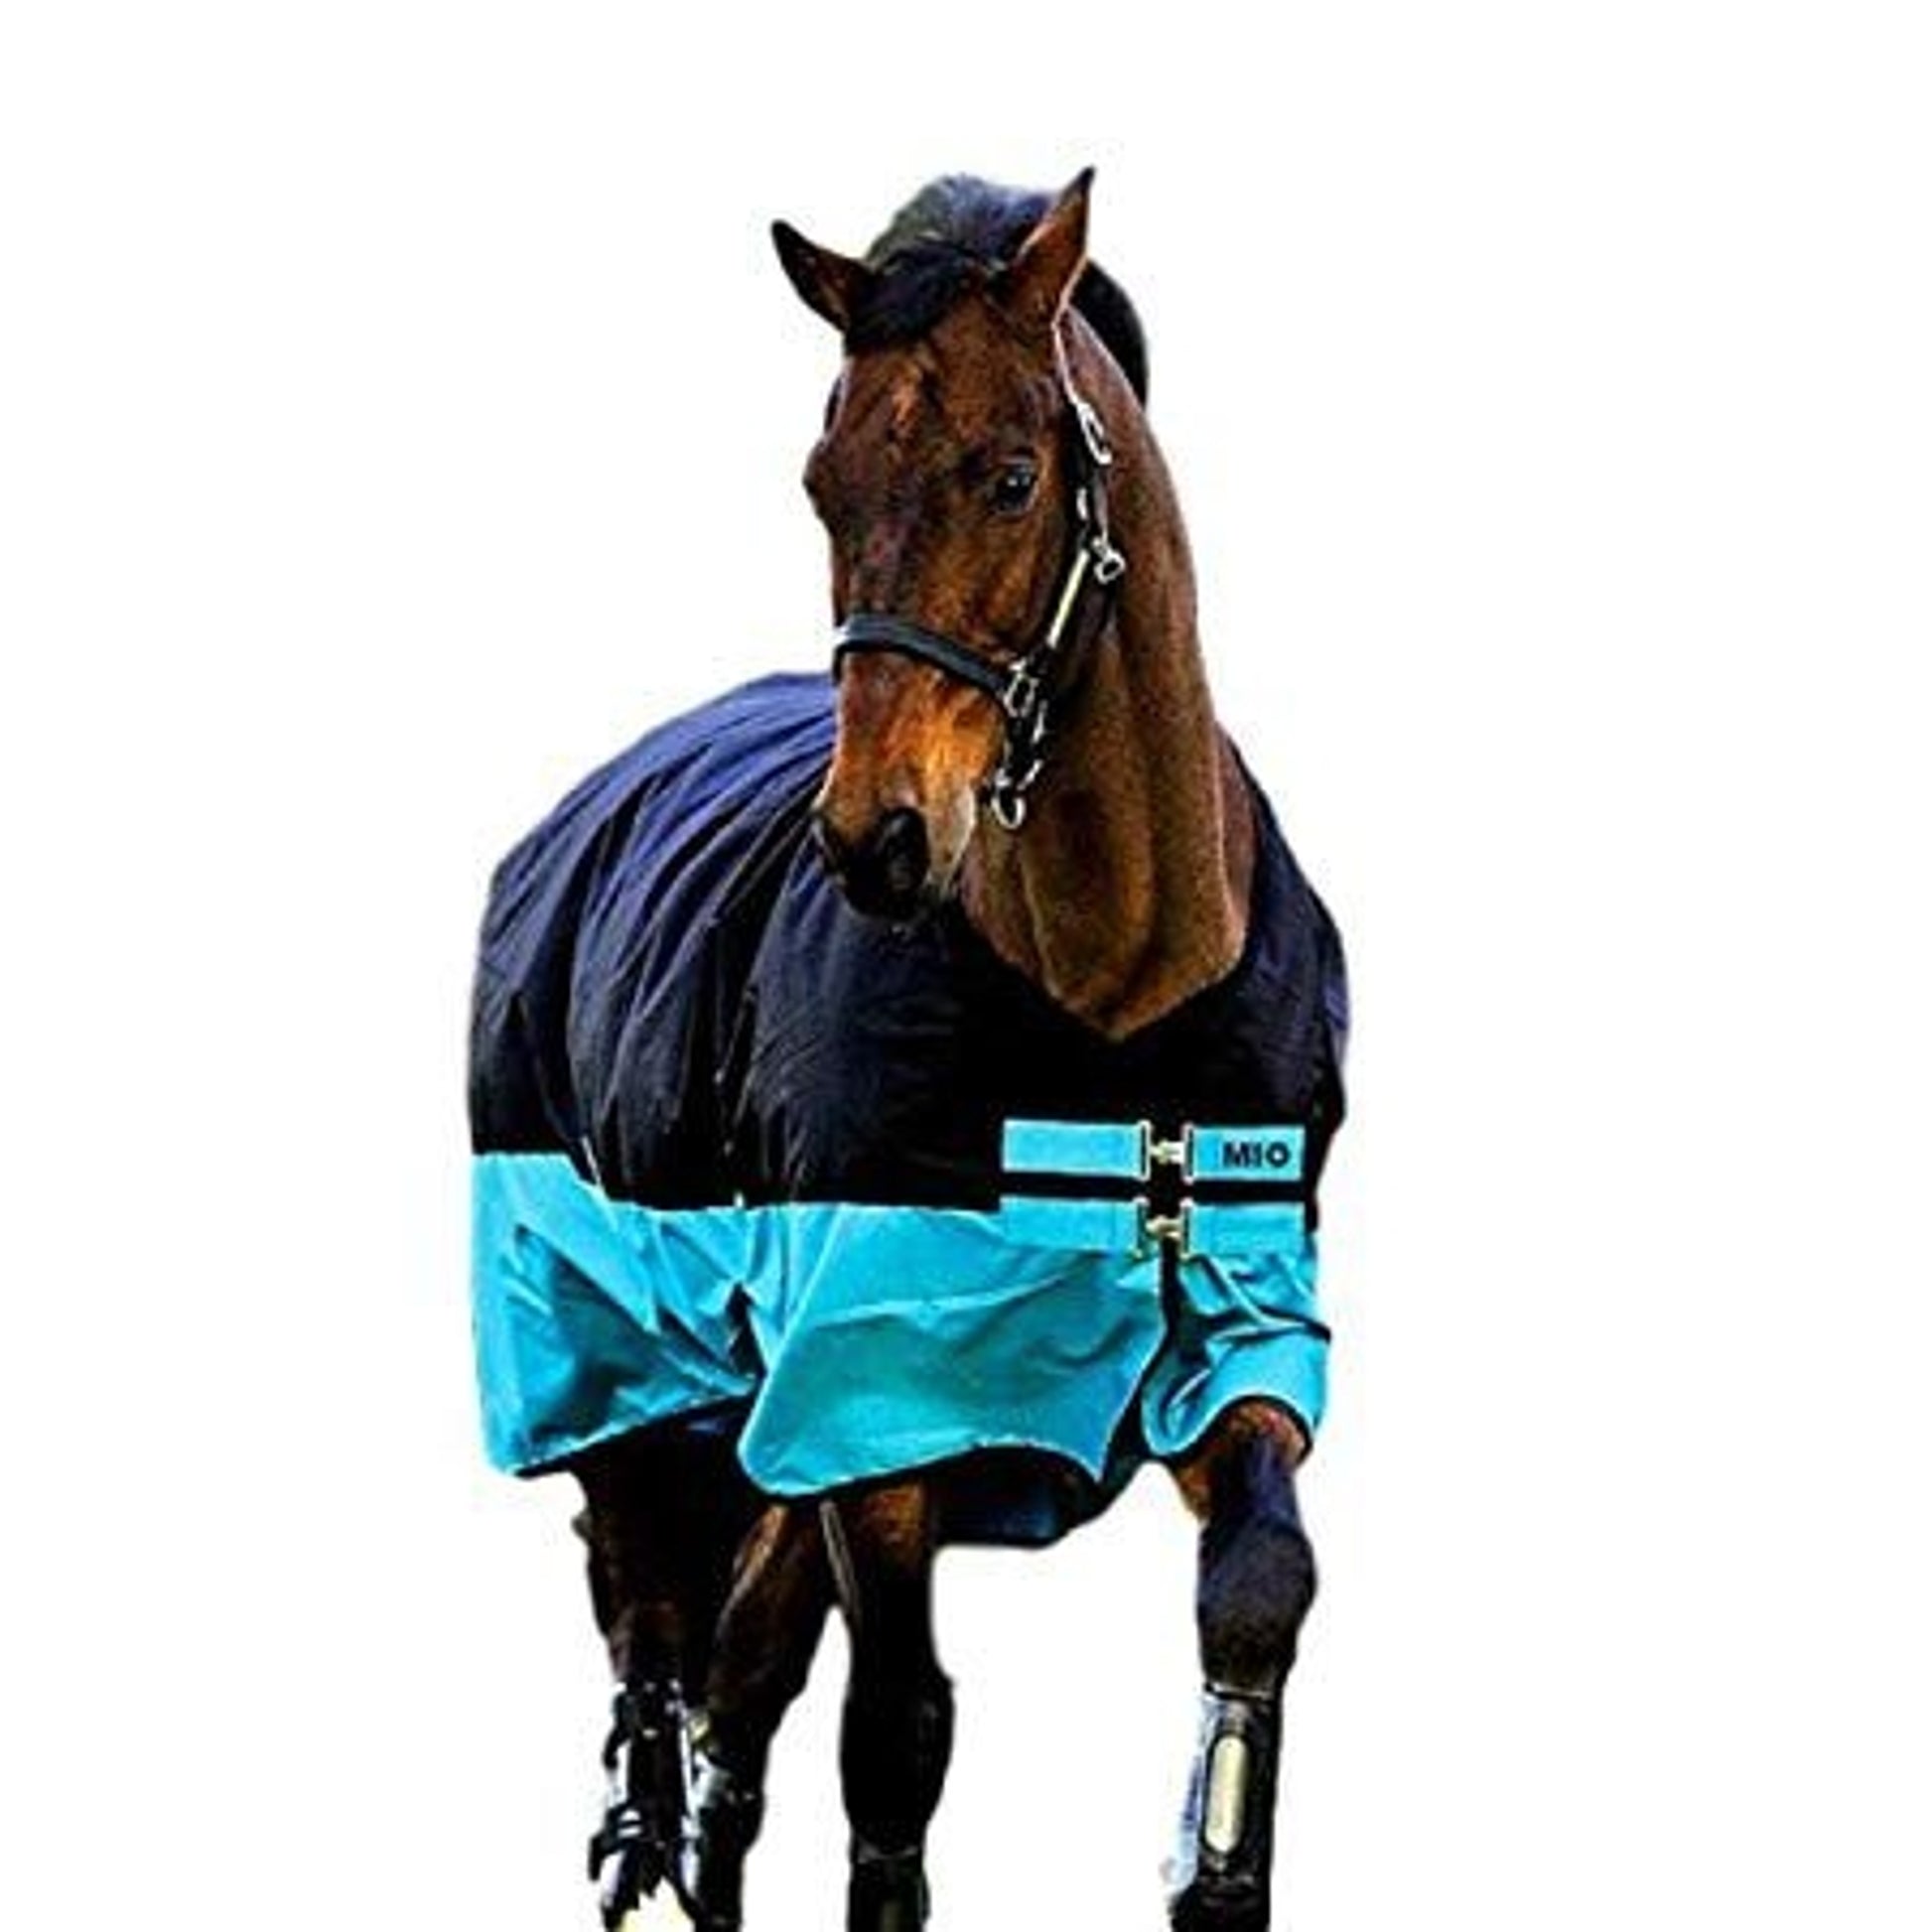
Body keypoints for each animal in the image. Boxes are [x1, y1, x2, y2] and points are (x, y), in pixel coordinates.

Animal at [468, 170, 1348, 1932]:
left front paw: (1212, 1869)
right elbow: (895, 1737)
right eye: (821, 483)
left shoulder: (1236, 1337)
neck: (1110, 1018)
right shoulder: (874, 1410)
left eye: (1008, 475)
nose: (874, 838)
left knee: (739, 1675)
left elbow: (1254, 1597)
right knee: (667, 1636)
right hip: (616, 1355)